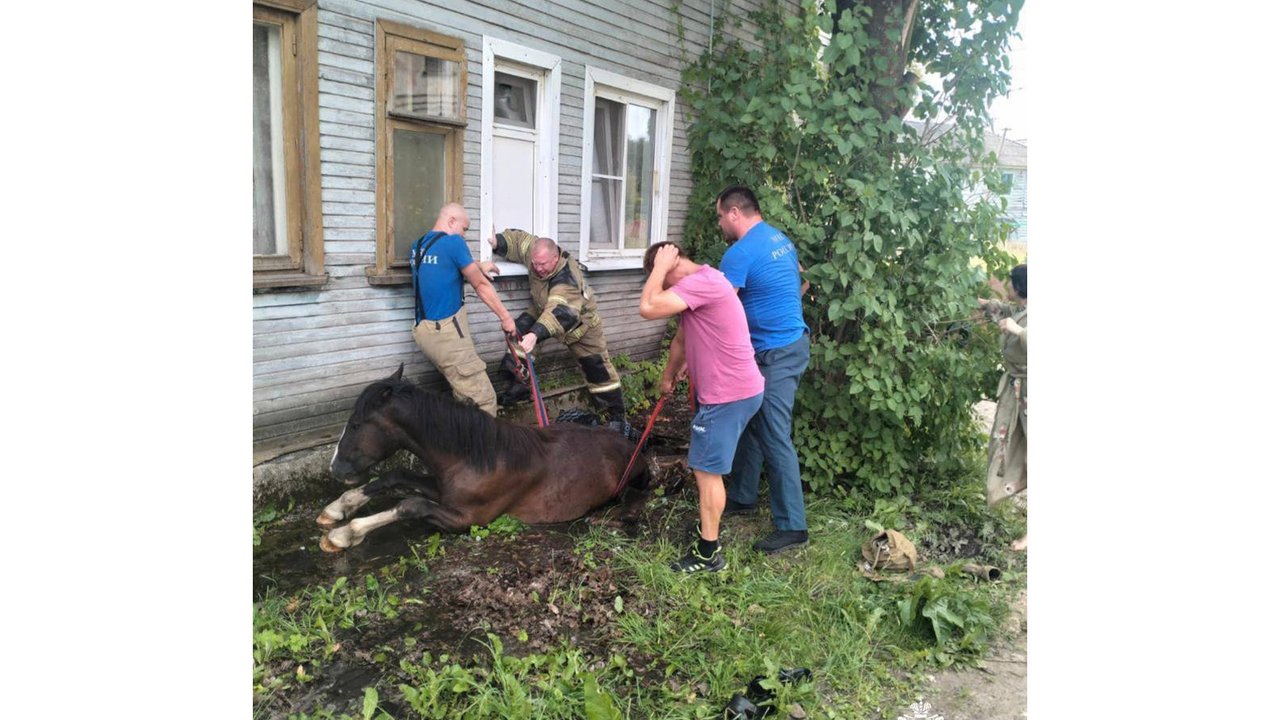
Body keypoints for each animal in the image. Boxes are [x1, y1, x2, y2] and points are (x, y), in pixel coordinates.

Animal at [316, 363, 645, 548]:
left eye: (356, 424)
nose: (335, 468)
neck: (477, 458)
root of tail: (630, 443)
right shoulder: (443, 491)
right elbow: (396, 476)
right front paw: (338, 508)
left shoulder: (468, 518)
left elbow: (410, 505)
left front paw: (344, 535)